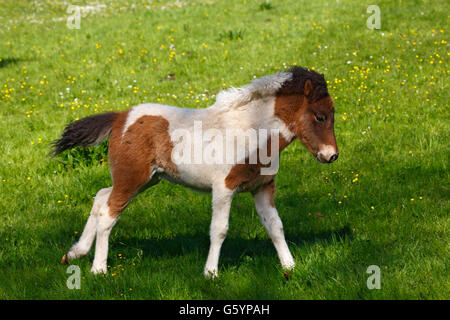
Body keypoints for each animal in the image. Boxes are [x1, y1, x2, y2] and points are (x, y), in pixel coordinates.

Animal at [52, 67, 338, 278]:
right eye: (320, 117)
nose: (331, 155)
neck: (249, 129)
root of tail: (120, 117)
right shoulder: (224, 188)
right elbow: (219, 229)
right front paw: (210, 273)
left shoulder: (262, 187)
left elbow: (275, 226)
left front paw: (290, 266)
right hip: (132, 178)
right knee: (108, 214)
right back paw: (98, 269)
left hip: (146, 180)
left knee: (101, 196)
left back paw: (76, 252)